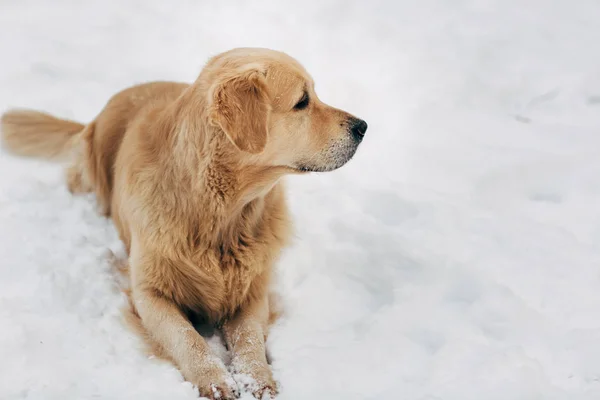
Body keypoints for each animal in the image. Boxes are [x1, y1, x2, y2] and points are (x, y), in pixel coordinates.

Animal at [0, 48, 368, 398]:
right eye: (302, 101)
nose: (362, 127)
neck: (218, 212)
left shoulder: (251, 292)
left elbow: (249, 339)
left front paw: (257, 378)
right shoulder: (149, 293)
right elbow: (186, 337)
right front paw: (214, 379)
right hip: (93, 172)